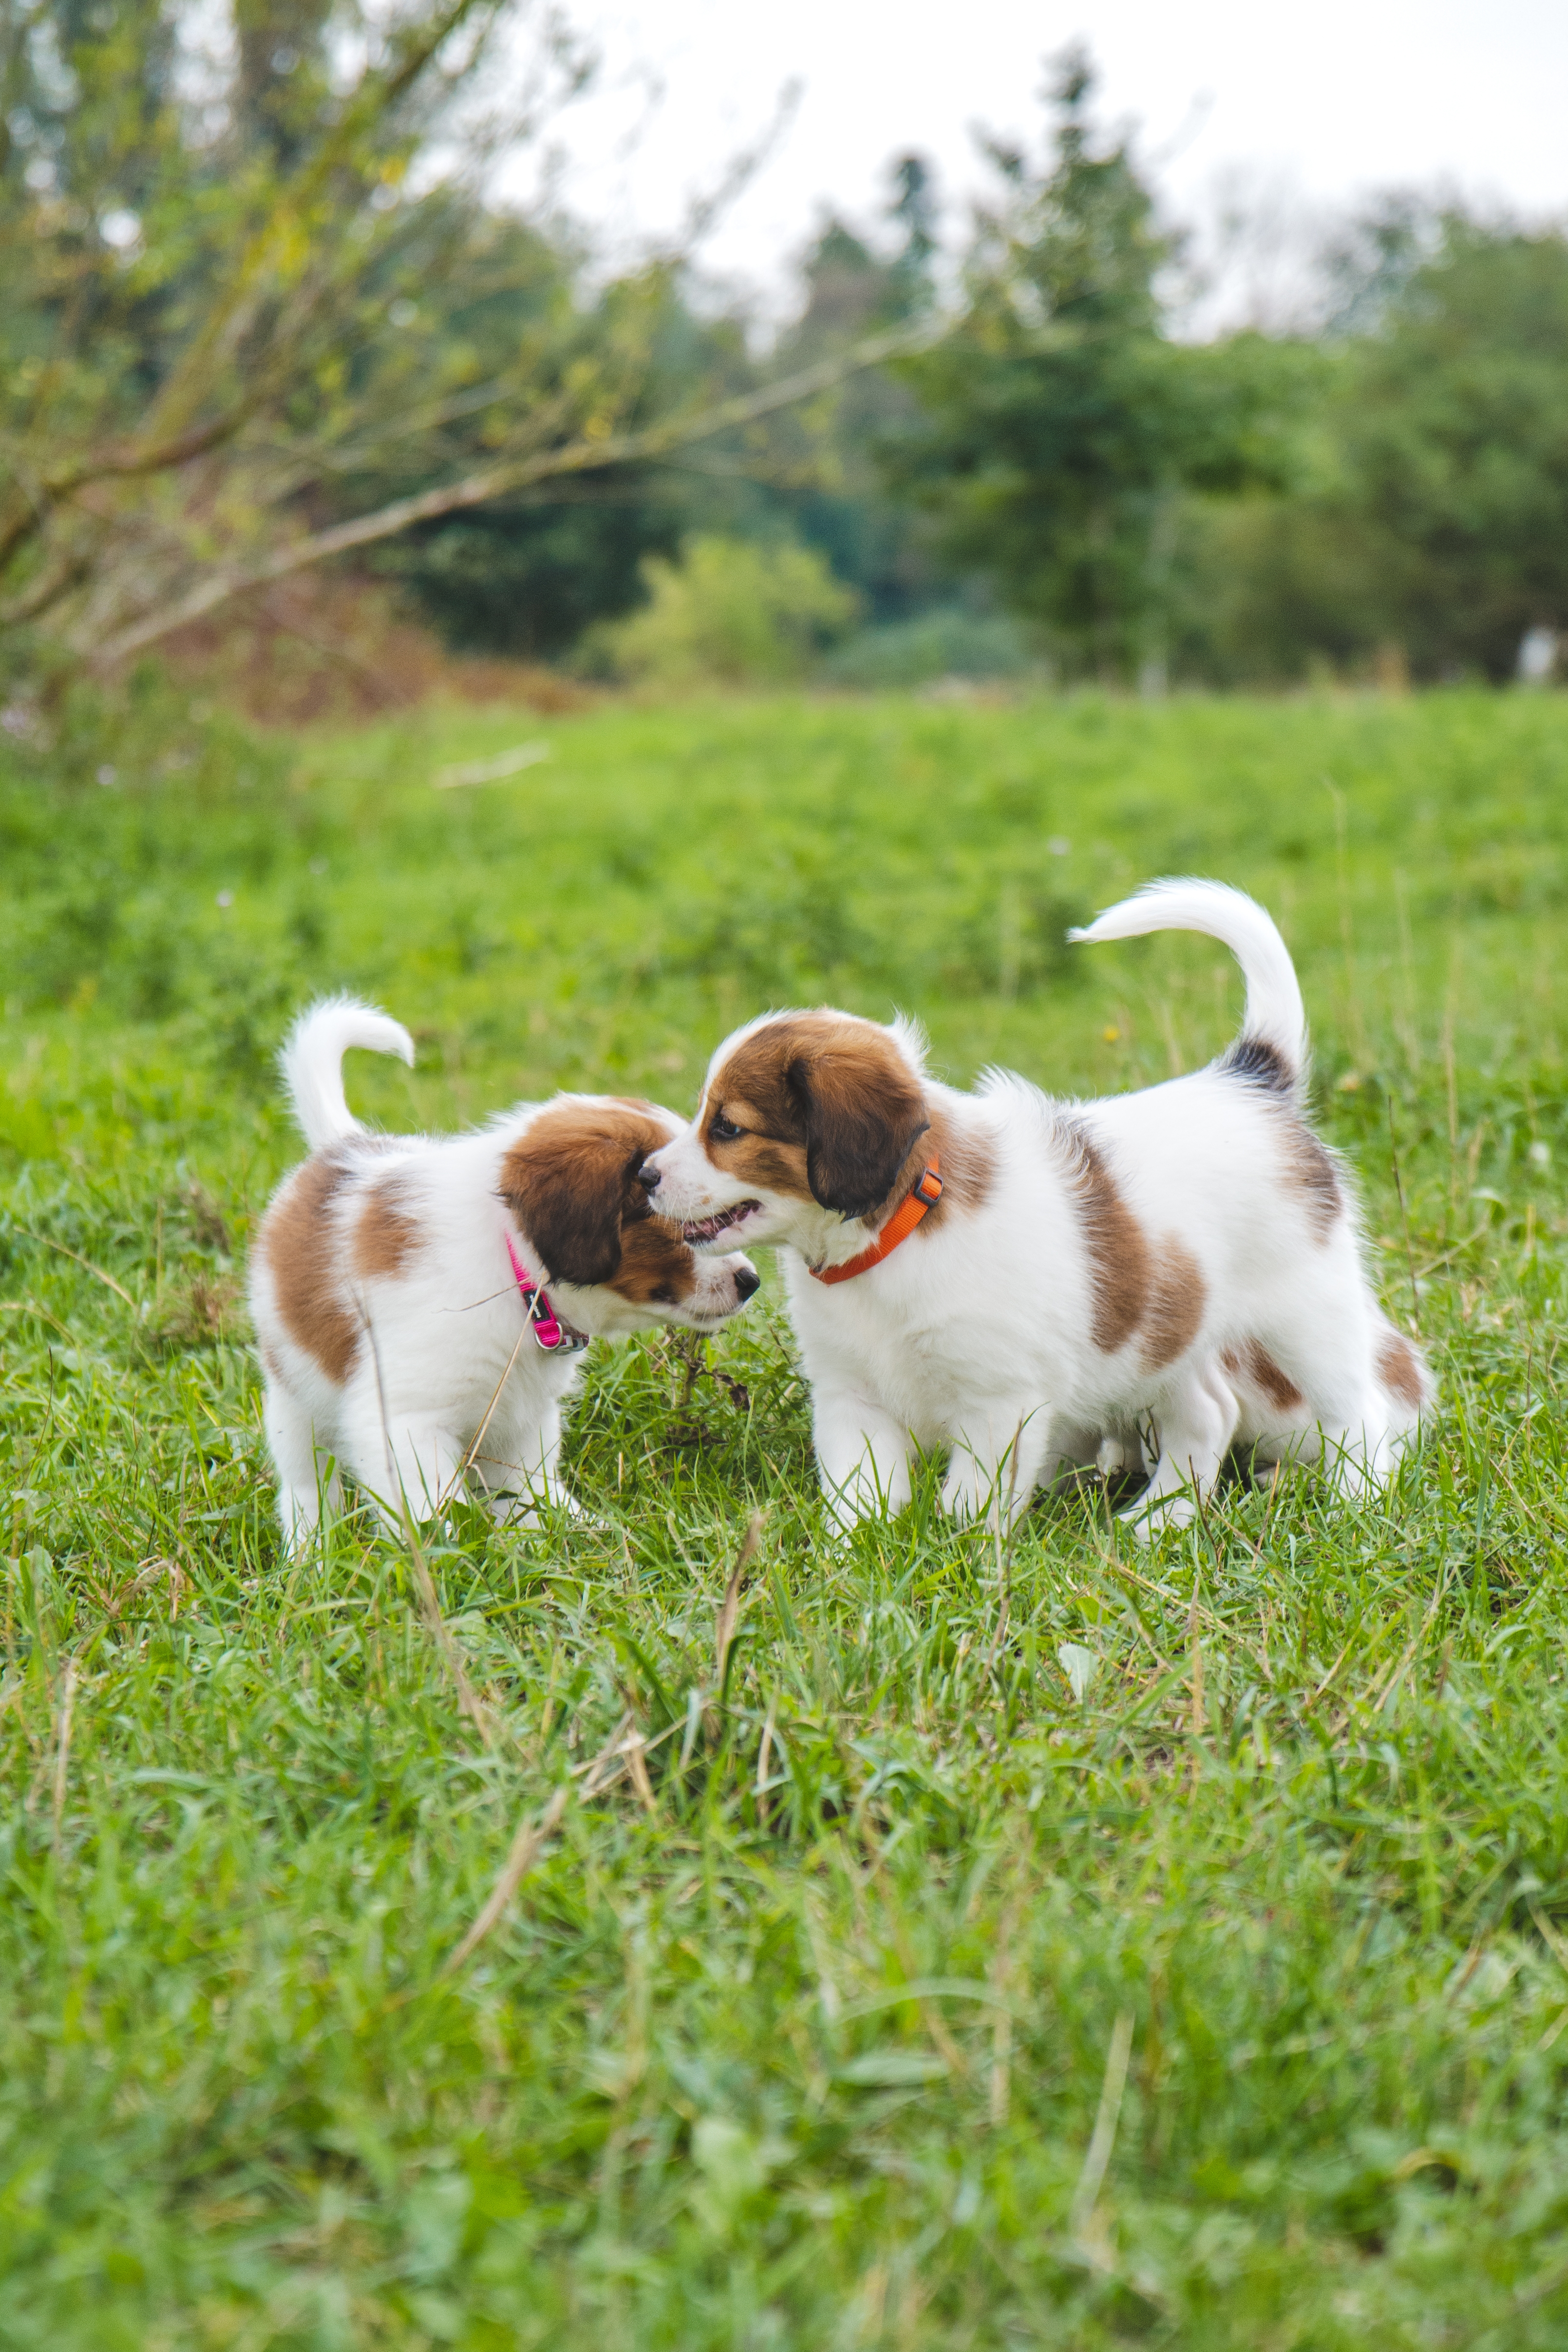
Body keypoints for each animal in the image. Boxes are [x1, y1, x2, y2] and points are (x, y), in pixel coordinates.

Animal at [251, 1002, 761, 1552]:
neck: (517, 1280)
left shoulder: (521, 1423)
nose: (751, 1281)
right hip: (294, 1397)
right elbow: (432, 1515)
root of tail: (344, 1144)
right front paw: (454, 1560)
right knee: (305, 1484)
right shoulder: (403, 1422)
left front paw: (572, 1535)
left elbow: (529, 1497)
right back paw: (310, 1549)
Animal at [639, 879, 1438, 1524]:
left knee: (1358, 1410)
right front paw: (854, 1565)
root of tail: (1252, 1081)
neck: (894, 1242)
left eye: (727, 1128)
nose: (644, 1176)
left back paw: (1356, 1503)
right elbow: (859, 1499)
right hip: (1167, 1331)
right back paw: (1158, 1524)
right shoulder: (849, 1397)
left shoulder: (999, 1405)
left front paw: (957, 1564)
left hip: (1305, 1319)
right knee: (1210, 1413)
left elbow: (970, 1504)